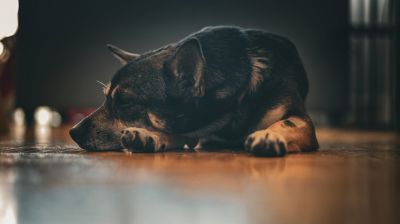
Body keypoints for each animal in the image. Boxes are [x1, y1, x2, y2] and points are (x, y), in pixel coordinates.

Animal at [69, 25, 318, 157]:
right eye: (106, 98)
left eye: (124, 102)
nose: (72, 132)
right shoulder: (195, 129)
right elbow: (179, 133)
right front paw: (149, 136)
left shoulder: (303, 122)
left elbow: (287, 123)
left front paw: (270, 135)